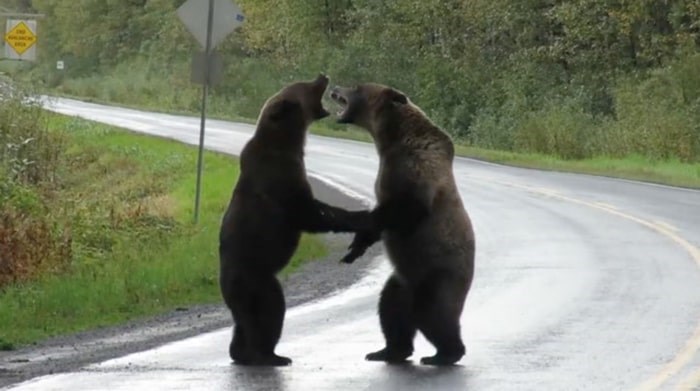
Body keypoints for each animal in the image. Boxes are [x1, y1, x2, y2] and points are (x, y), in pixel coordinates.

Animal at [220, 76, 374, 368]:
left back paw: (243, 352)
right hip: (257, 279)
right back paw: (269, 355)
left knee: (242, 325)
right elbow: (312, 214)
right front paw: (362, 217)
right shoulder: (282, 181)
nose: (322, 75)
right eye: (304, 84)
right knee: (269, 313)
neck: (288, 143)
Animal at [328, 82, 476, 368]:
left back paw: (444, 353)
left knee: (433, 314)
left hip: (439, 273)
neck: (390, 139)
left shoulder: (416, 168)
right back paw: (388, 350)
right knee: (391, 308)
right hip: (403, 279)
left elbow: (407, 207)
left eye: (357, 86)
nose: (334, 87)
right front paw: (355, 248)